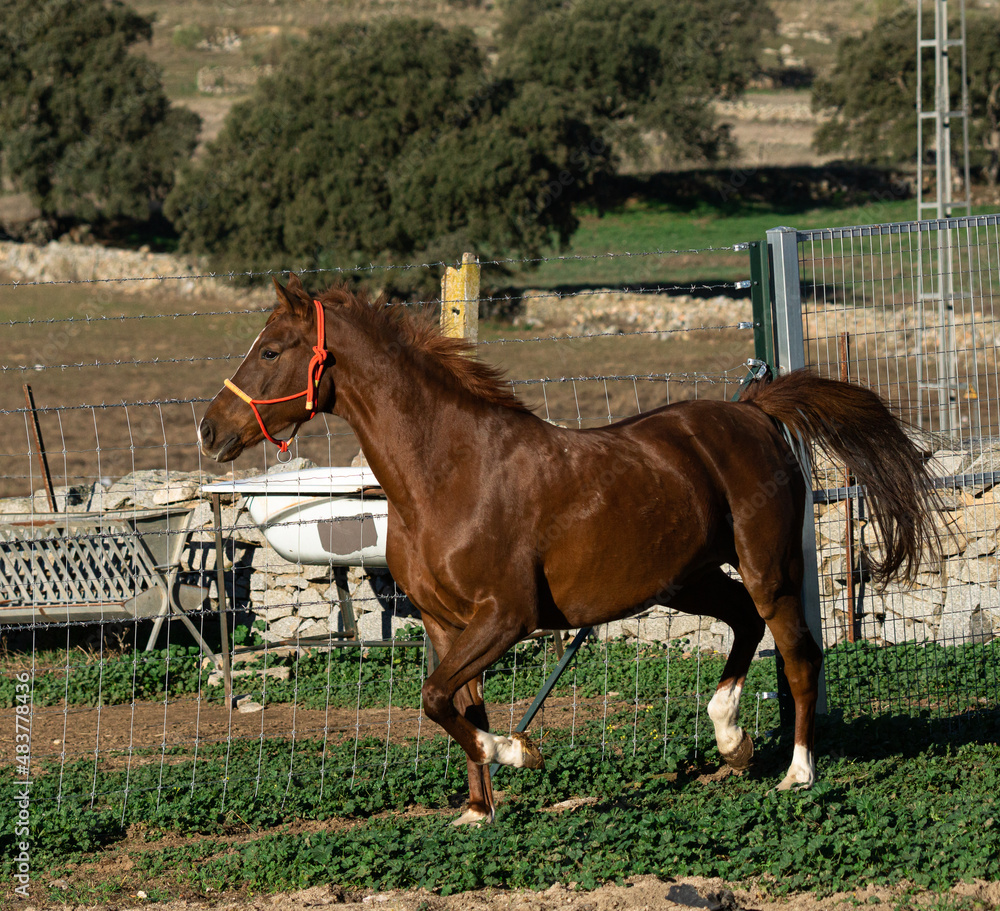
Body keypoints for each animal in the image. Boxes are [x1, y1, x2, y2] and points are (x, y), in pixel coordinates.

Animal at [201, 274, 936, 824]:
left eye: (272, 351)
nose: (210, 429)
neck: (448, 475)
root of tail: (753, 409)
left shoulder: (507, 615)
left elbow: (437, 699)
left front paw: (516, 752)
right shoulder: (445, 622)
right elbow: (454, 702)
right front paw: (478, 810)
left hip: (769, 569)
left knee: (799, 654)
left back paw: (797, 772)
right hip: (685, 579)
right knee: (744, 625)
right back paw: (730, 740)